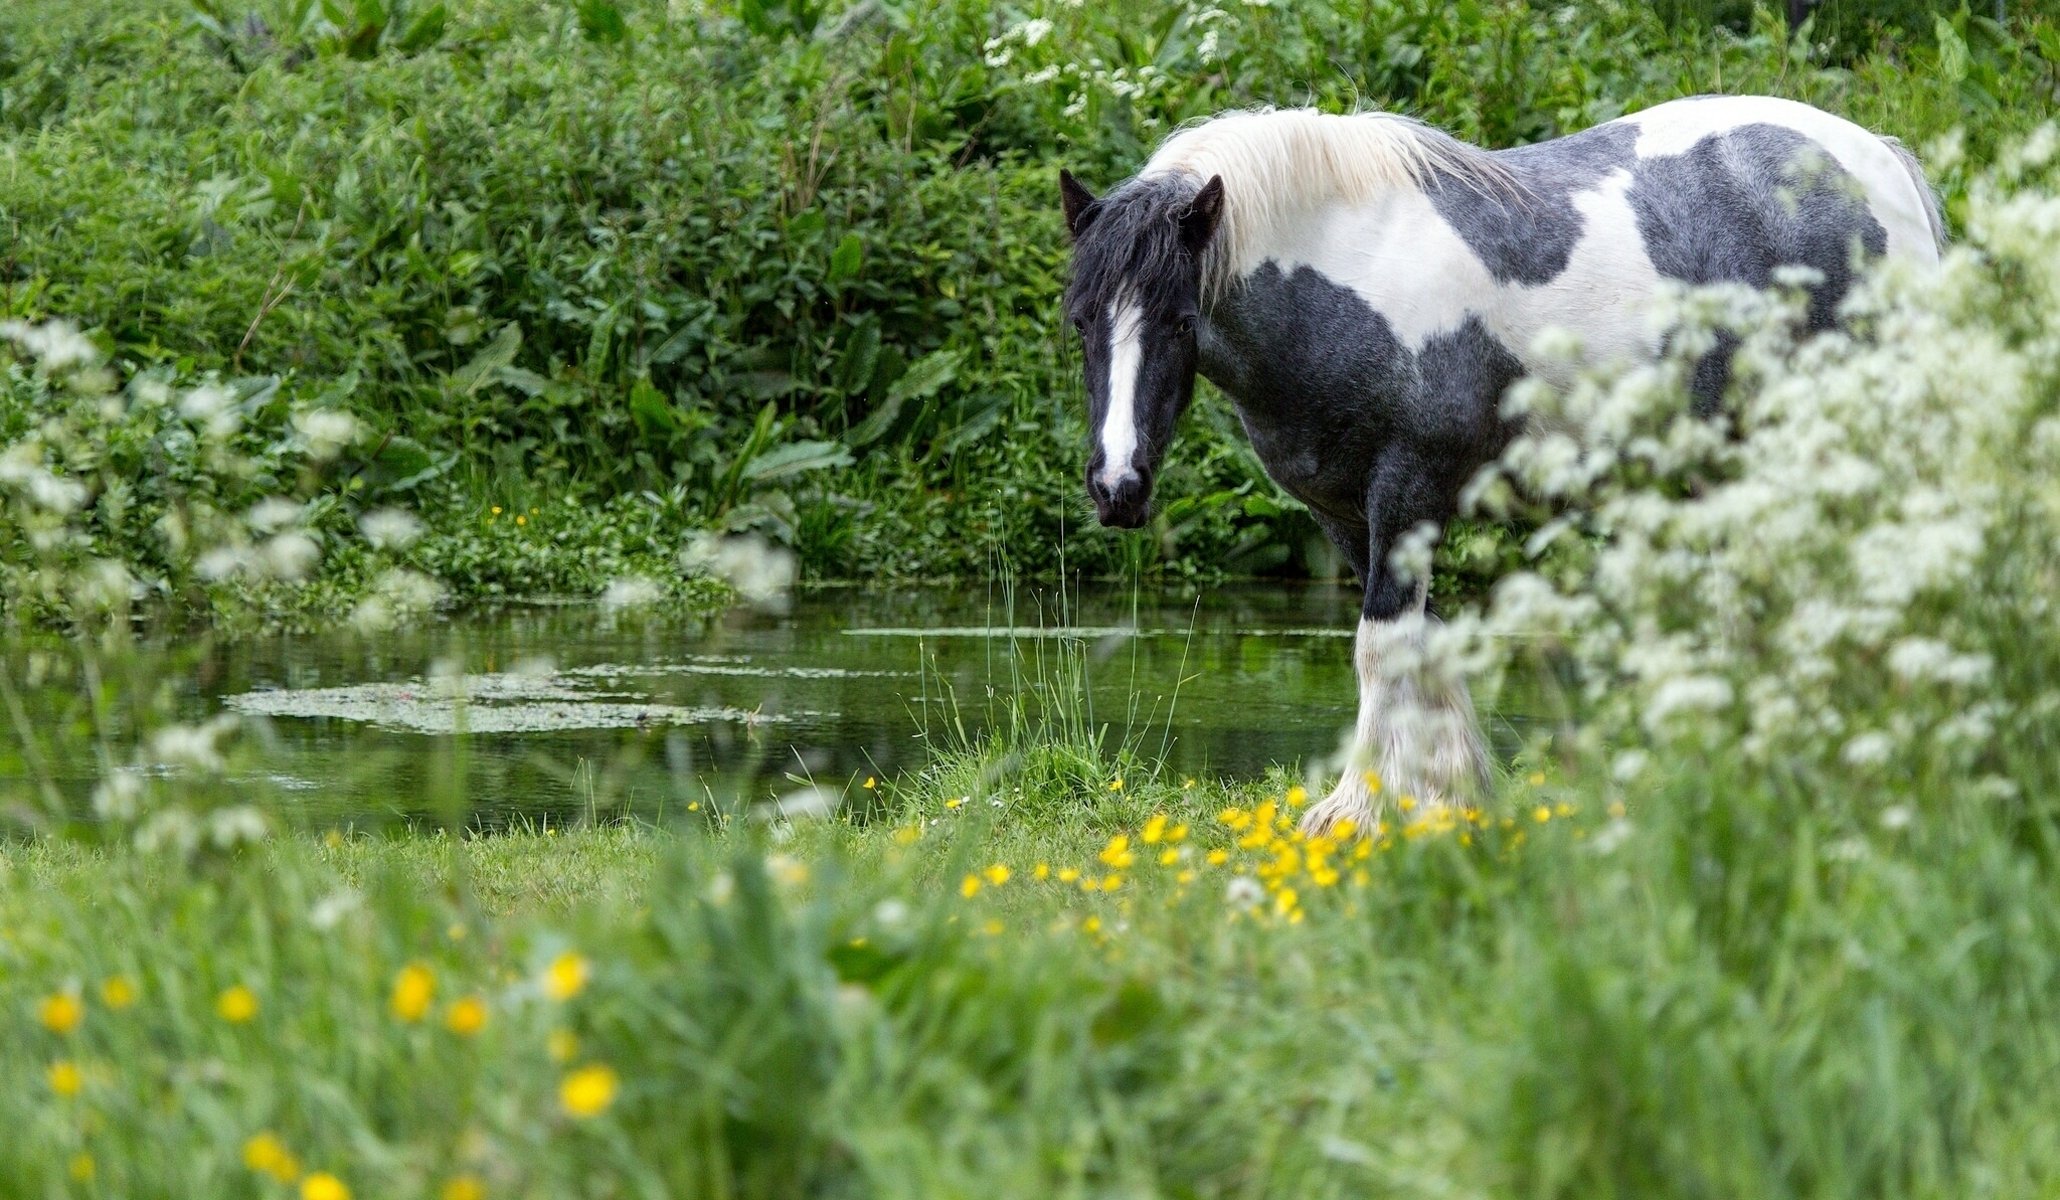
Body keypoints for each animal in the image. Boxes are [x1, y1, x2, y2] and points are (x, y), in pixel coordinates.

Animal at [1057, 96, 1943, 836]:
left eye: (1180, 321)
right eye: (1081, 321)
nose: (1117, 487)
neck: (1346, 270)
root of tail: (1881, 163)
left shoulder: (1408, 491)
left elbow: (1380, 647)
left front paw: (1363, 811)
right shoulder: (1344, 516)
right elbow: (1420, 647)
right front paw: (1450, 795)